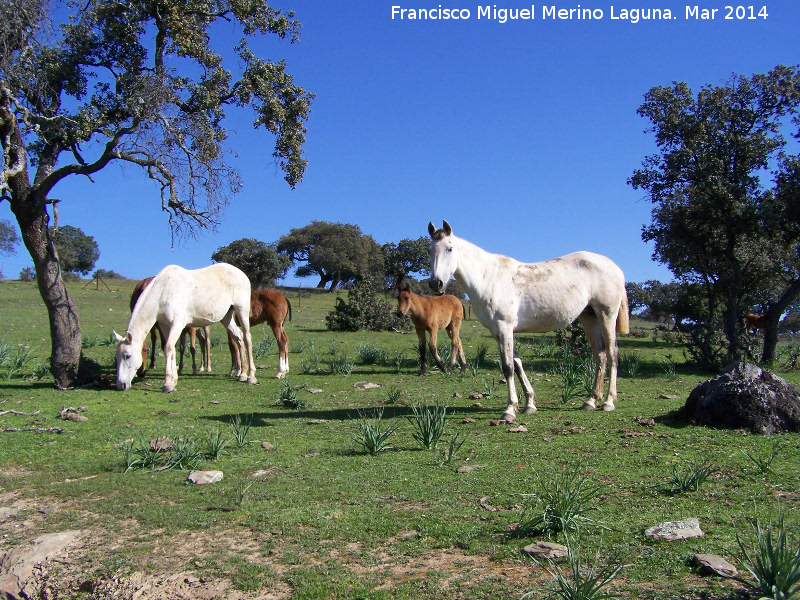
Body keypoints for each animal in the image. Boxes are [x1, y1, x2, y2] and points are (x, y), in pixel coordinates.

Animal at [115, 264, 256, 392]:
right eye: (117, 357)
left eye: (127, 356)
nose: (120, 385)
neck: (163, 291)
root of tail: (241, 273)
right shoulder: (164, 326)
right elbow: (170, 349)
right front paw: (173, 380)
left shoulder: (177, 324)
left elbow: (168, 348)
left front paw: (167, 383)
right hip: (227, 317)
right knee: (238, 337)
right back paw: (242, 374)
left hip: (241, 310)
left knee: (247, 338)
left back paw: (251, 376)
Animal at [428, 220, 628, 422]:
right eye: (430, 249)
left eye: (450, 248)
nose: (436, 284)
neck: (488, 277)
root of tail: (614, 267)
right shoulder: (498, 332)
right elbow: (517, 364)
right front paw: (529, 403)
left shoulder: (504, 327)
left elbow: (508, 367)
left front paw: (509, 410)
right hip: (589, 317)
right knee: (600, 355)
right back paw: (591, 400)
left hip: (606, 315)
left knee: (612, 353)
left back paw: (608, 402)